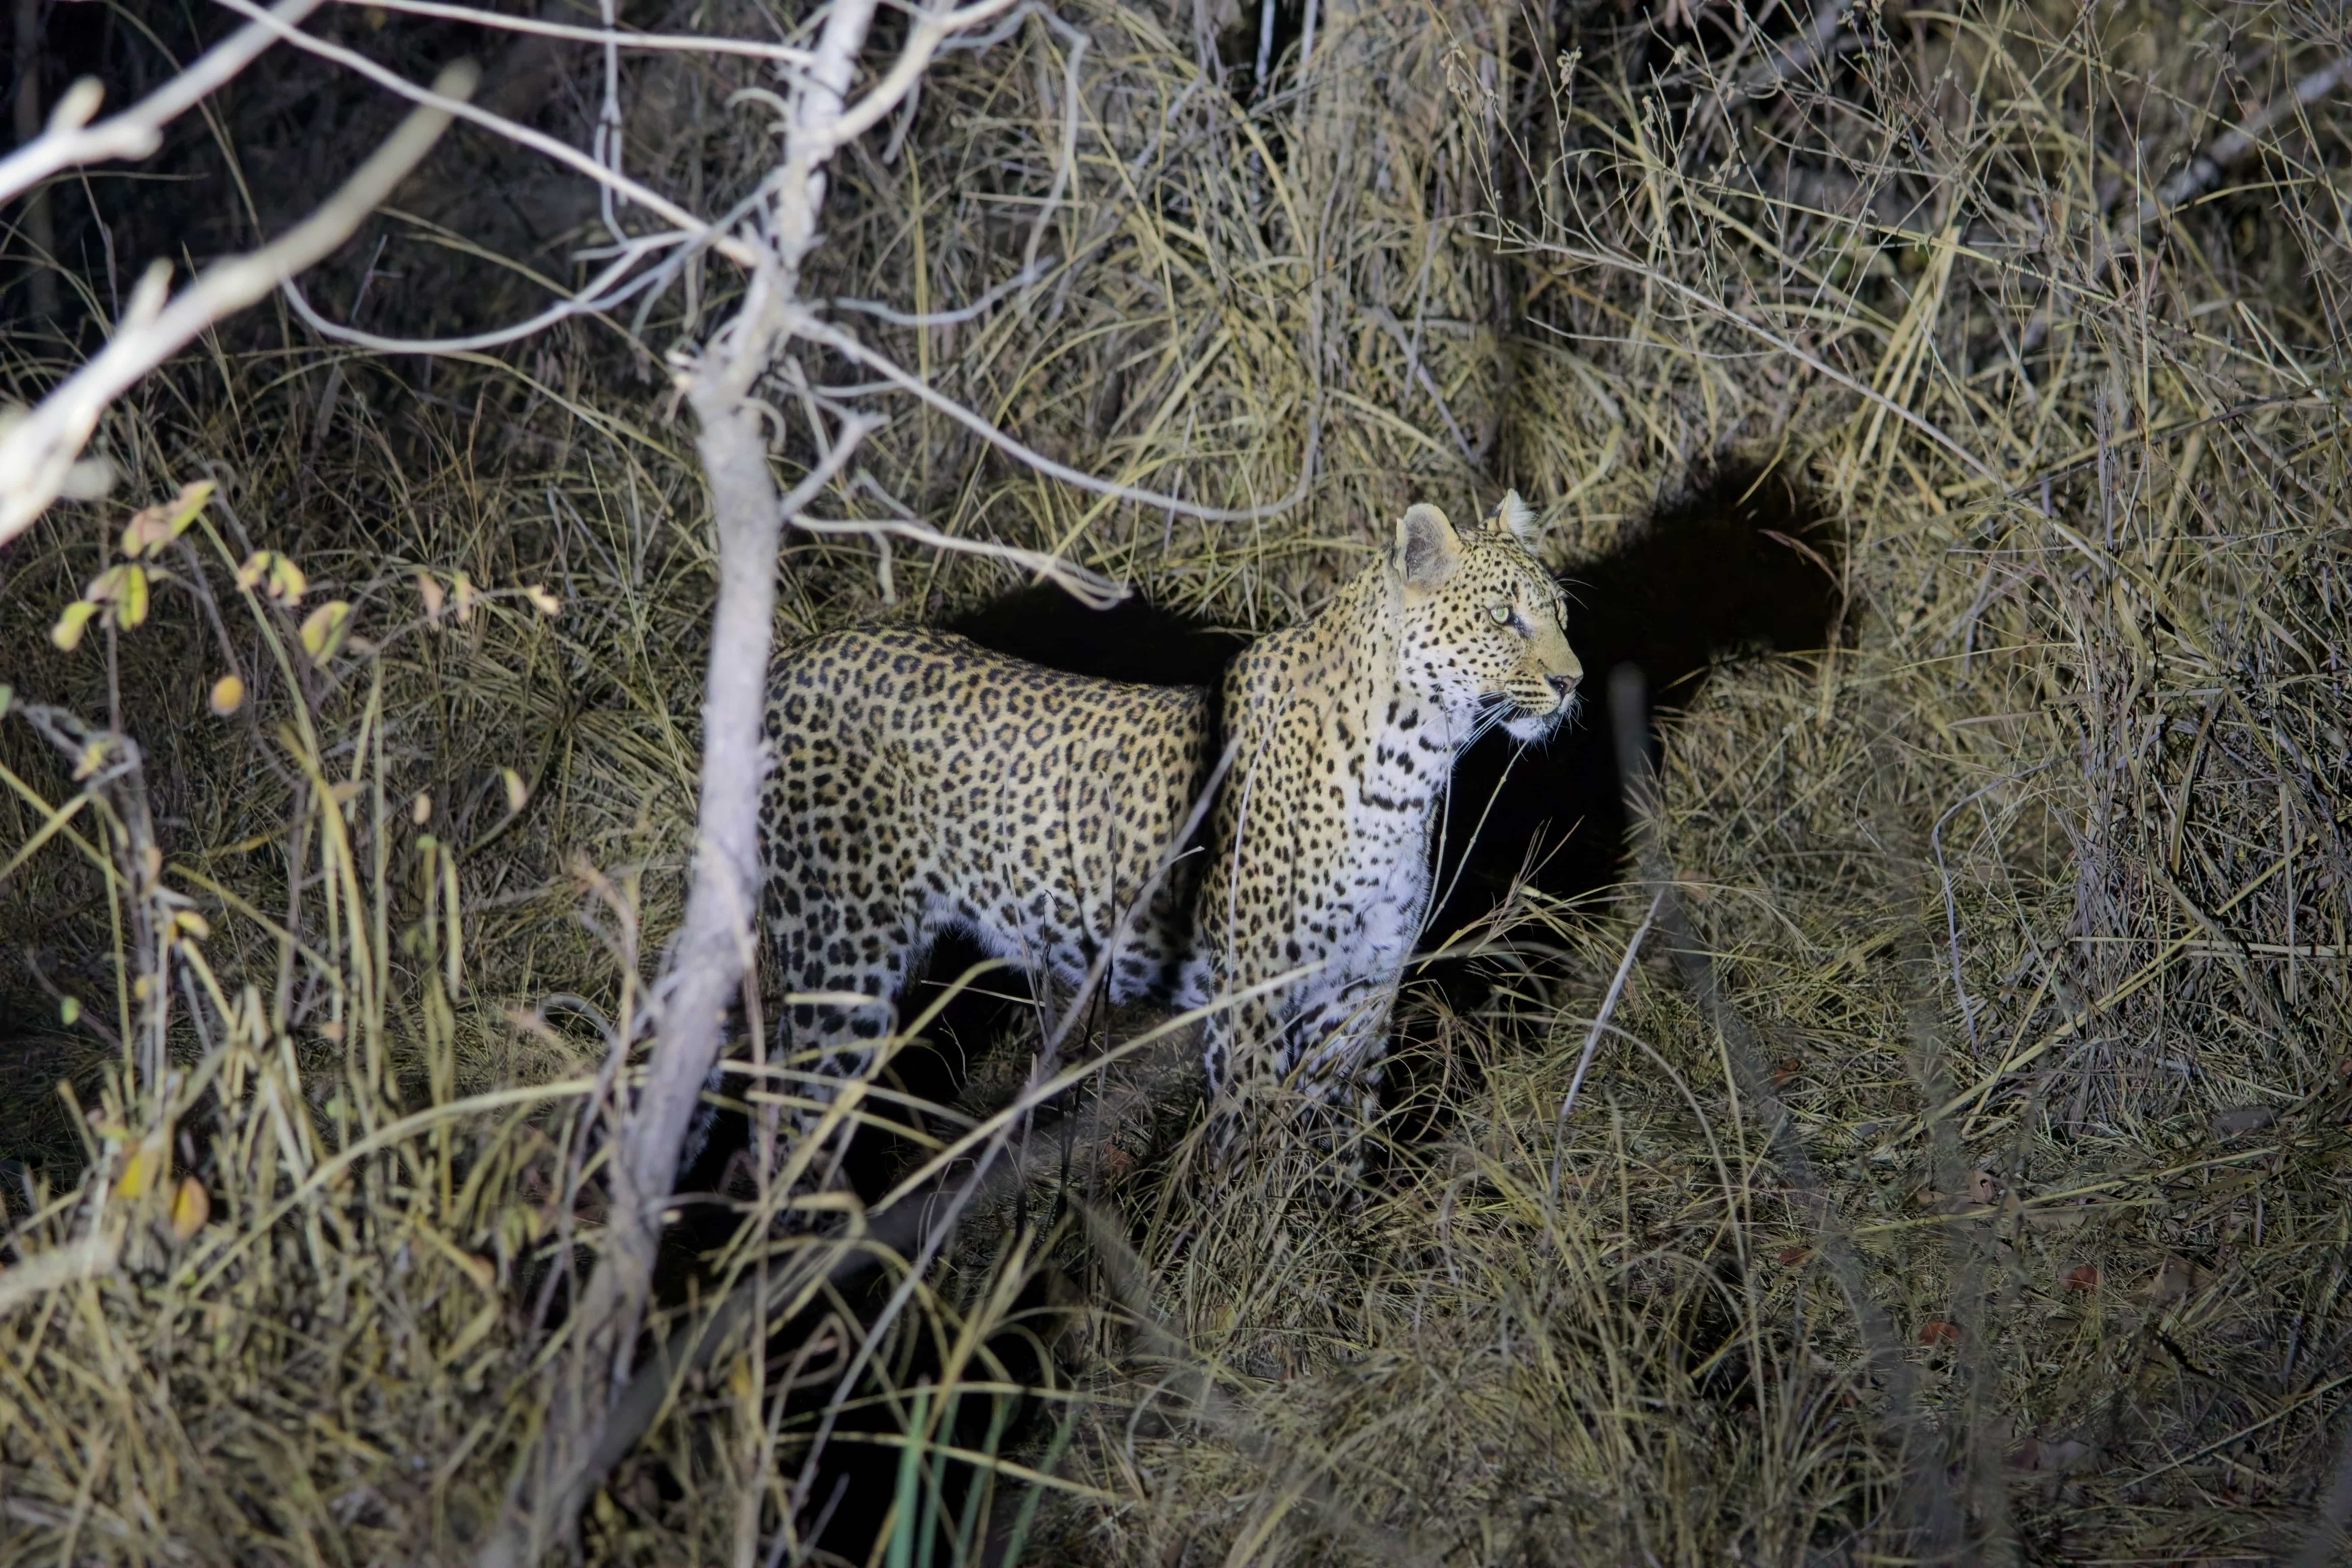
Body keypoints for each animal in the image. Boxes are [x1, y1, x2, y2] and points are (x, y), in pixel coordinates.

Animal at [687, 496, 1590, 1171]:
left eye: (1558, 614)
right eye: (1505, 617)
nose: (1573, 682)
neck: (1417, 764)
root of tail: (794, 660)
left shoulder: (1362, 993)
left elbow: (1342, 1146)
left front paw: (1332, 1258)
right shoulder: (1253, 1004)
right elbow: (1252, 1152)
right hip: (843, 957)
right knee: (785, 1123)